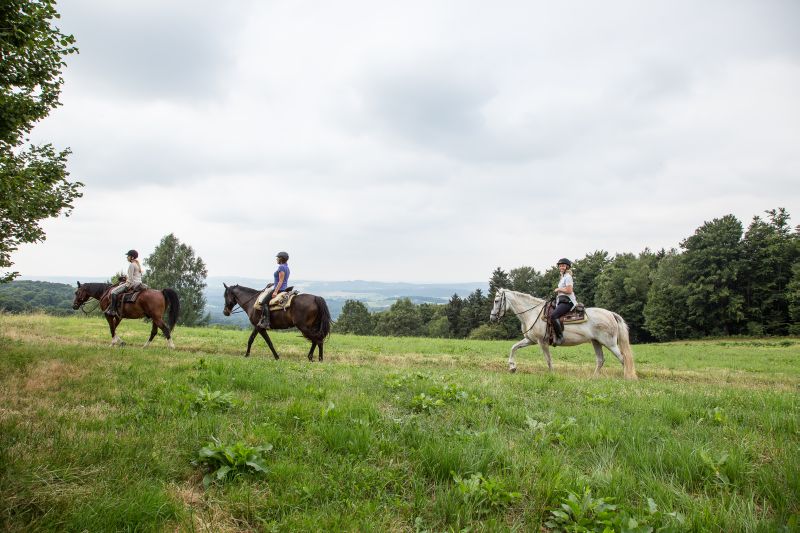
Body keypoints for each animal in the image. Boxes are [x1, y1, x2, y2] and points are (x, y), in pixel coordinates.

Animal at [488, 286, 636, 378]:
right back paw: (594, 378)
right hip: (596, 342)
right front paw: (512, 367)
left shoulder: (542, 342)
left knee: (623, 359)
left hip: (610, 343)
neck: (532, 313)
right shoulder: (530, 340)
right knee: (600, 360)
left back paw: (627, 377)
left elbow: (548, 359)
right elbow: (514, 347)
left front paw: (552, 374)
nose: (492, 317)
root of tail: (611, 314)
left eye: (496, 301)